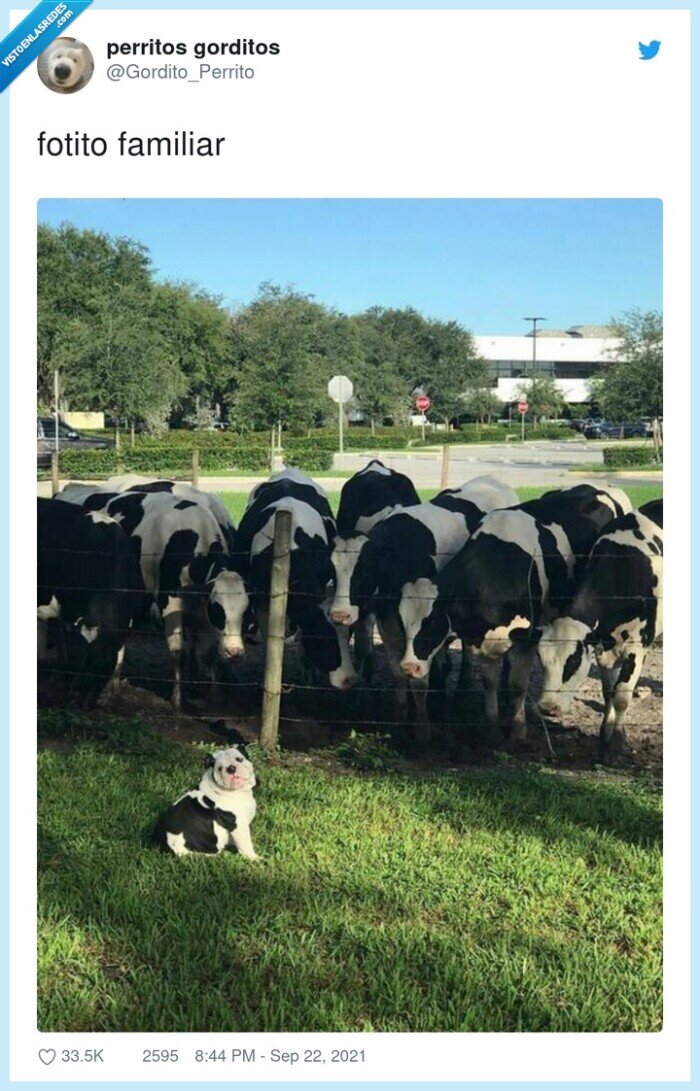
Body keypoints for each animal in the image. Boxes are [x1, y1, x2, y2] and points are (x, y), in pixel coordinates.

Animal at [37, 499, 144, 705]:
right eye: (81, 660)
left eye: (101, 665)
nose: (78, 698)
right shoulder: (67, 614)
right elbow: (63, 648)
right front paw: (58, 680)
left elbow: (119, 659)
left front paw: (112, 692)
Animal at [55, 488, 248, 708]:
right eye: (219, 611)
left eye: (245, 612)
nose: (235, 652)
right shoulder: (169, 601)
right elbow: (178, 652)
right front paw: (177, 699)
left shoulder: (201, 608)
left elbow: (210, 652)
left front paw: (213, 695)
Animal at [436, 484, 634, 743]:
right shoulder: (482, 640)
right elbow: (489, 681)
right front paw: (490, 726)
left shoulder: (529, 636)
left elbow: (517, 684)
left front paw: (518, 729)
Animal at [534, 509, 663, 758]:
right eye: (541, 660)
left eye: (572, 662)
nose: (547, 707)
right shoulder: (604, 648)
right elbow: (608, 691)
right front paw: (605, 735)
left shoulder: (637, 646)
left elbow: (621, 695)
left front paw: (618, 743)